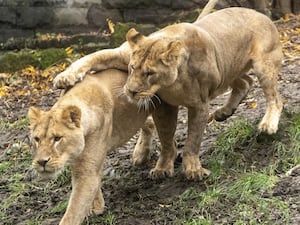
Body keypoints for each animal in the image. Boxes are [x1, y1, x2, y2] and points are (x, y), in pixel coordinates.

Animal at [29, 69, 178, 224]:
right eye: (37, 139)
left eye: (57, 138)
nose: (42, 162)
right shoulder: (81, 162)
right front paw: (96, 206)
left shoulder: (86, 170)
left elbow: (73, 211)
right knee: (148, 124)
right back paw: (140, 154)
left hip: (163, 109)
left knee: (168, 139)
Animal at [53, 4, 282, 181]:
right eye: (132, 68)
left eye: (150, 73)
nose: (130, 91)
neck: (170, 83)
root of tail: (262, 15)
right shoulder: (159, 100)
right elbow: (89, 58)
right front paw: (65, 77)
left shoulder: (199, 104)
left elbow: (193, 139)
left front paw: (193, 169)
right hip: (228, 70)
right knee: (245, 82)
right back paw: (224, 112)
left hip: (262, 65)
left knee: (275, 98)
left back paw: (267, 124)